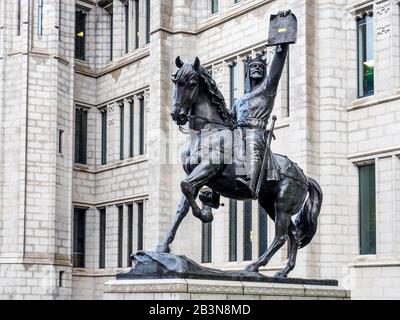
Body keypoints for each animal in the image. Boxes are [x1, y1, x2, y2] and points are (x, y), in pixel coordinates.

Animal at [155, 55, 324, 278]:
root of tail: (303, 175)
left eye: (191, 83)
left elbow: (185, 187)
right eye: (175, 82)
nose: (177, 115)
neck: (208, 131)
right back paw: (283, 272)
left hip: (282, 206)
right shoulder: (198, 176)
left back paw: (254, 266)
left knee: (281, 236)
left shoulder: (208, 168)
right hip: (269, 203)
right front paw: (162, 246)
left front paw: (204, 215)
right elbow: (181, 207)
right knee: (294, 234)